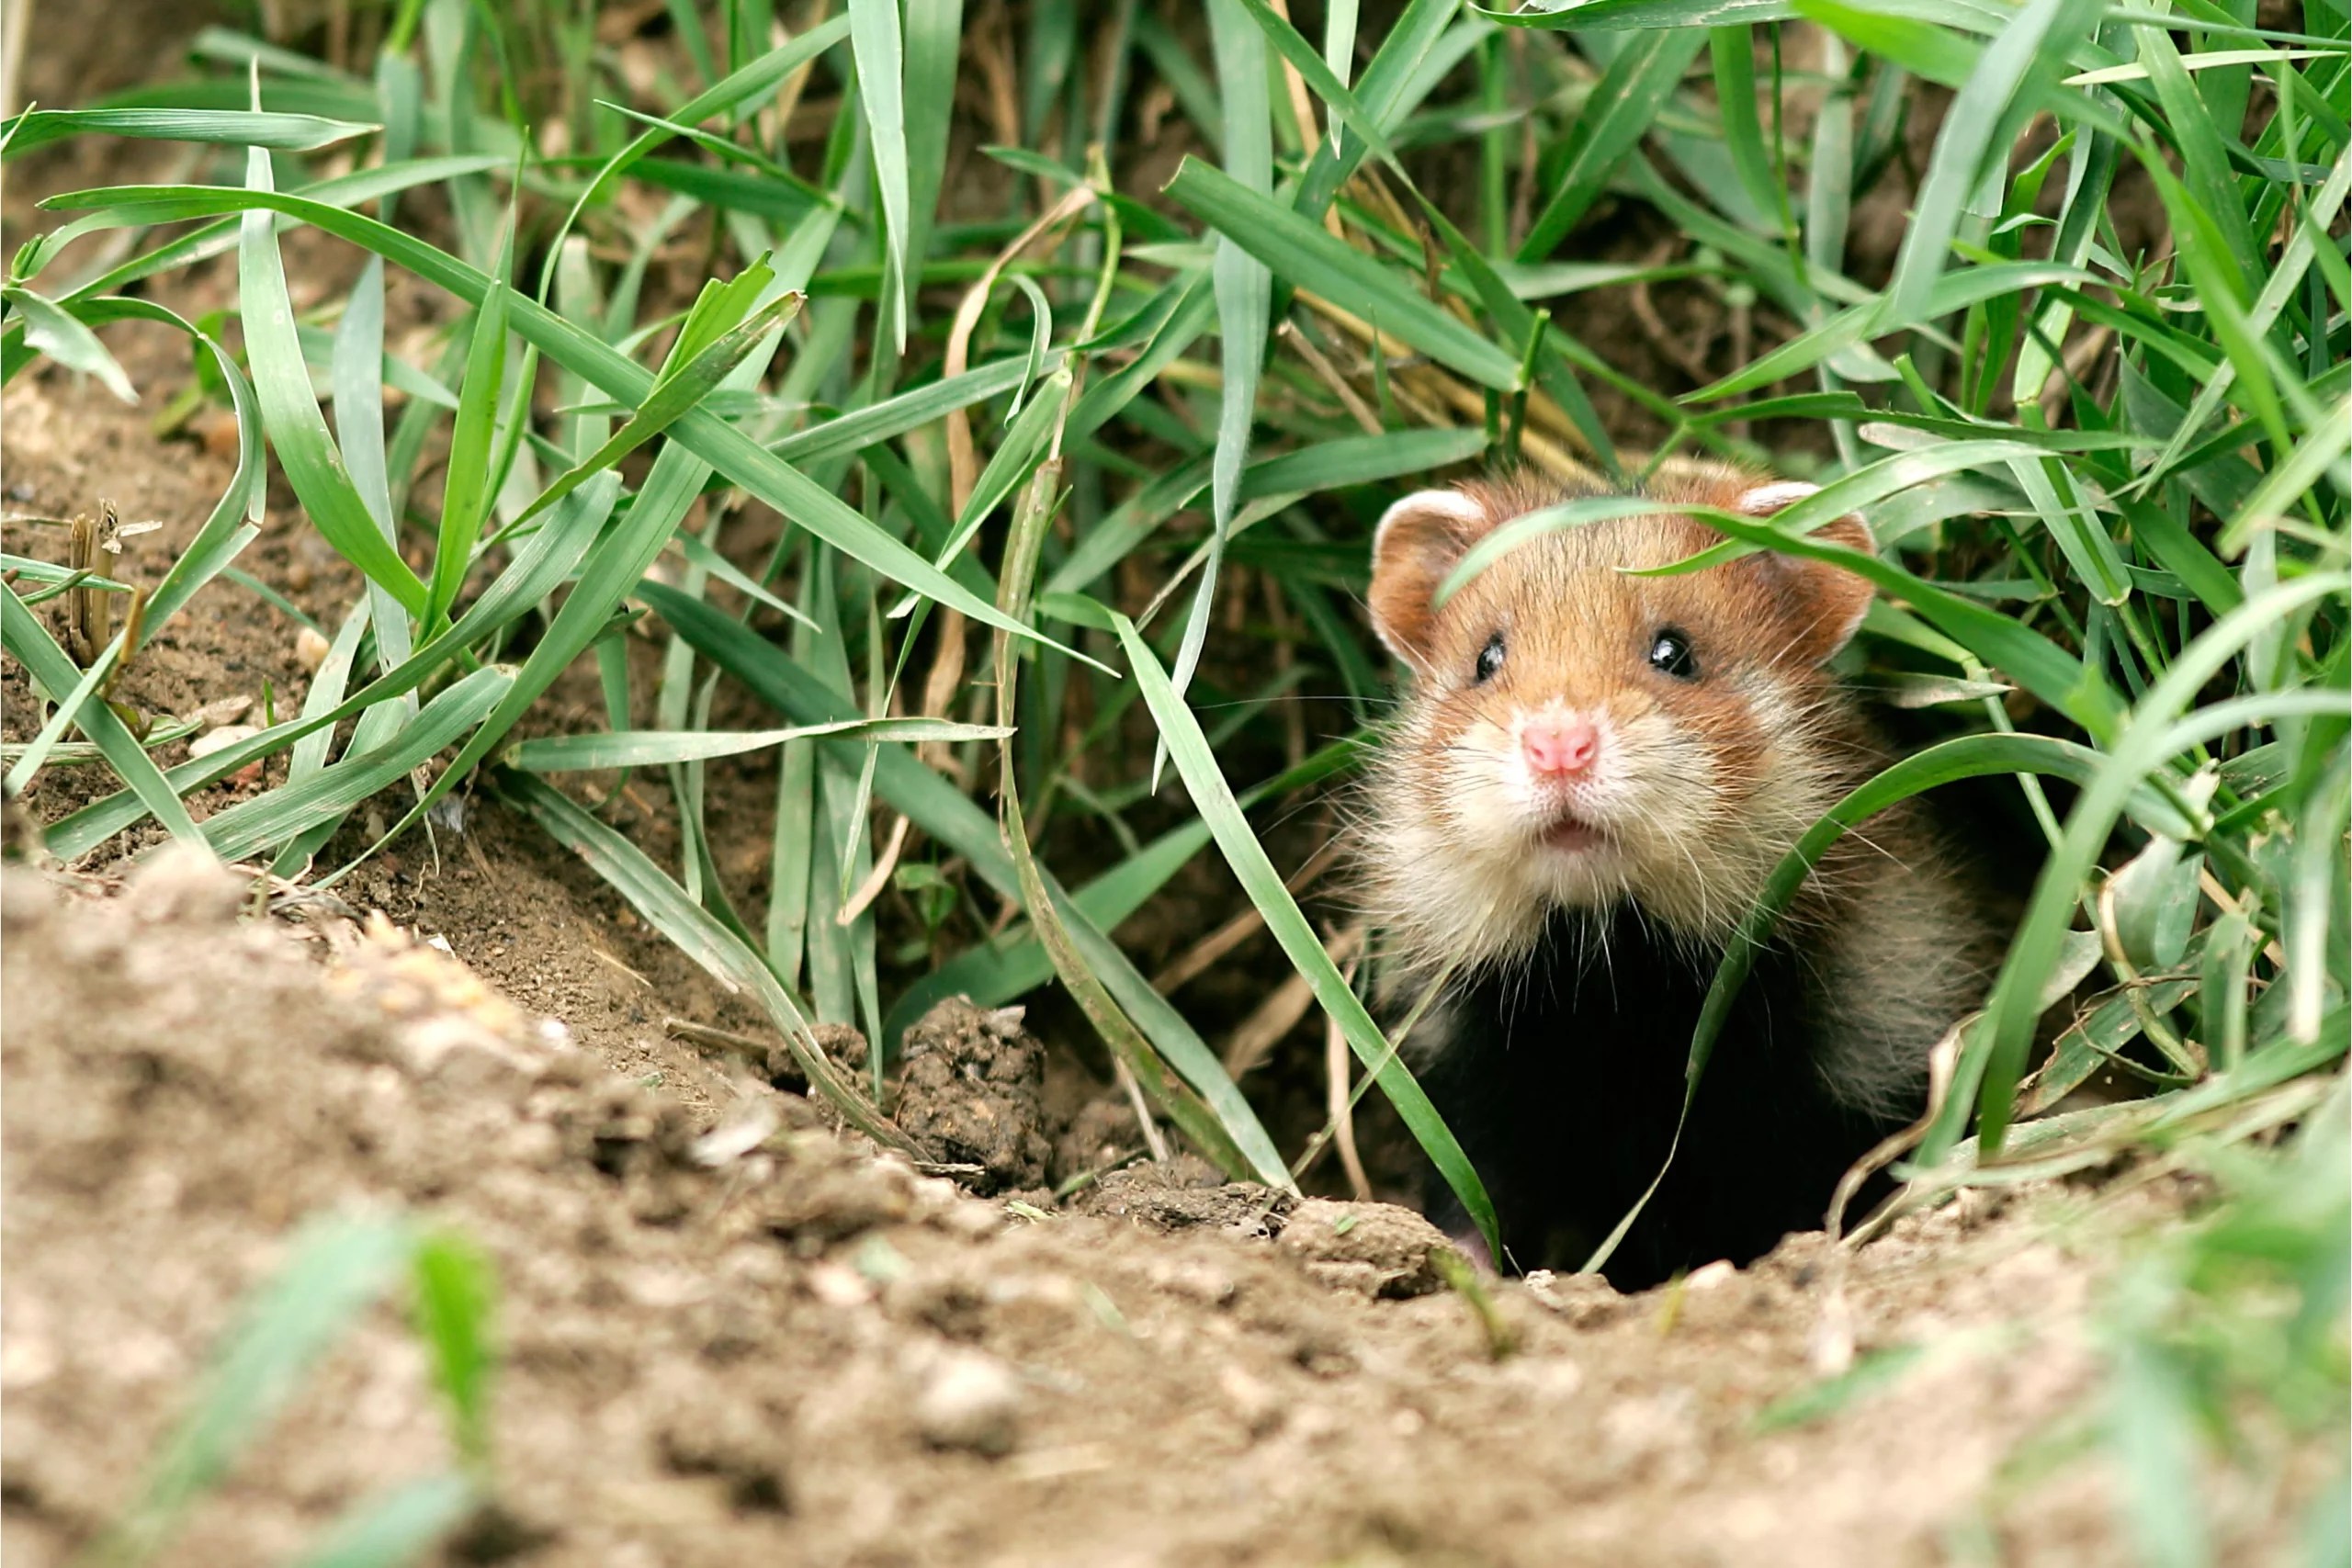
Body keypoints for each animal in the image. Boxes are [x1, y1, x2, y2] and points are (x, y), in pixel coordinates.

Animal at [1357, 466, 2000, 1289]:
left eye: (1675, 651)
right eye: (1485, 659)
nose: (1558, 744)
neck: (1617, 994)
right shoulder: (1479, 1070)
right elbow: (1476, 1191)